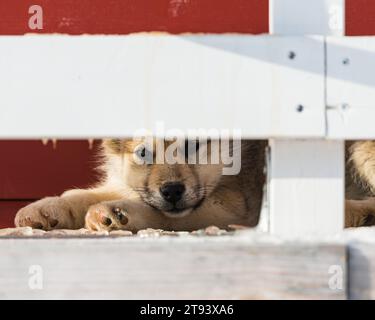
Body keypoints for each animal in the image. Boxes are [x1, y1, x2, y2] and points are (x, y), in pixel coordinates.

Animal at [14, 139, 268, 231]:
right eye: (143, 153)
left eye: (191, 146)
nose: (172, 191)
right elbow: (82, 195)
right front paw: (47, 208)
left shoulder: (234, 207)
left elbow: (163, 216)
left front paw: (117, 212)